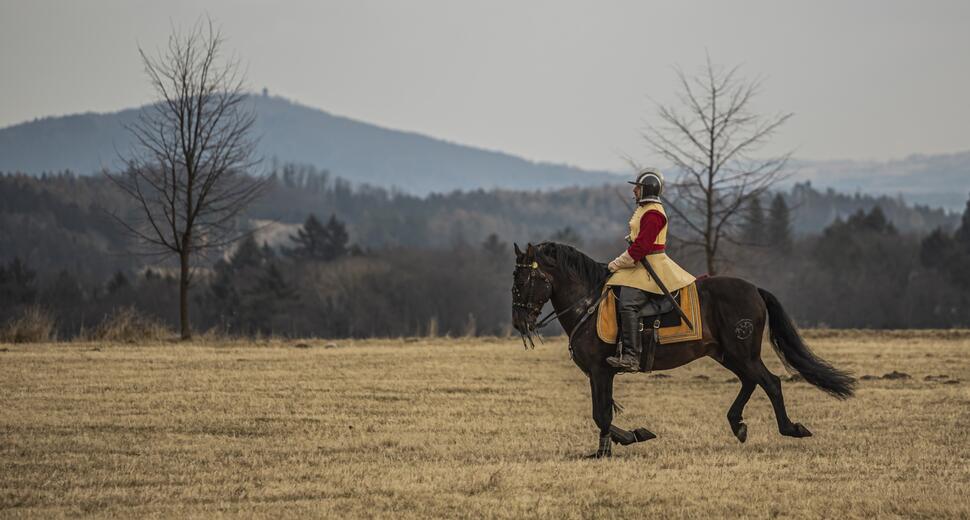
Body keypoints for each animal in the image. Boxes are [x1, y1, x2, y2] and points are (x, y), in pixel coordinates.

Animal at [510, 242, 852, 458]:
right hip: (727, 354)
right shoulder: (598, 374)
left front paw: (624, 441)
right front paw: (616, 444)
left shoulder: (601, 370)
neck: (589, 303)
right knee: (750, 381)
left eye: (525, 278)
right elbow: (602, 413)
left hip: (742, 353)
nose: (518, 321)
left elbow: (601, 413)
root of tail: (754, 289)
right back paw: (737, 424)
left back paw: (790, 428)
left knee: (770, 382)